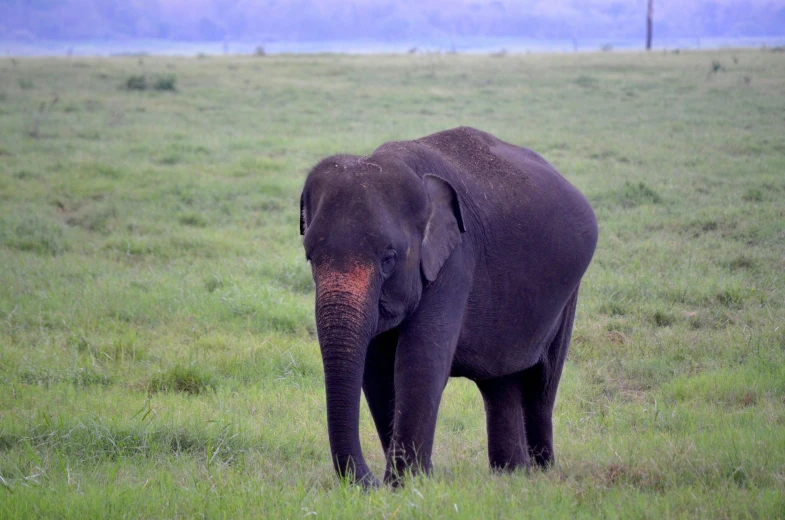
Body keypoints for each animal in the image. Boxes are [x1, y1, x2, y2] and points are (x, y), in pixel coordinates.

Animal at [298, 126, 596, 488]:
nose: (369, 483)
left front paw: (409, 483)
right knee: (500, 381)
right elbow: (376, 369)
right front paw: (408, 483)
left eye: (388, 259)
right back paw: (511, 474)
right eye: (310, 257)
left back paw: (541, 473)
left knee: (543, 381)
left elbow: (420, 360)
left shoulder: (455, 261)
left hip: (568, 292)